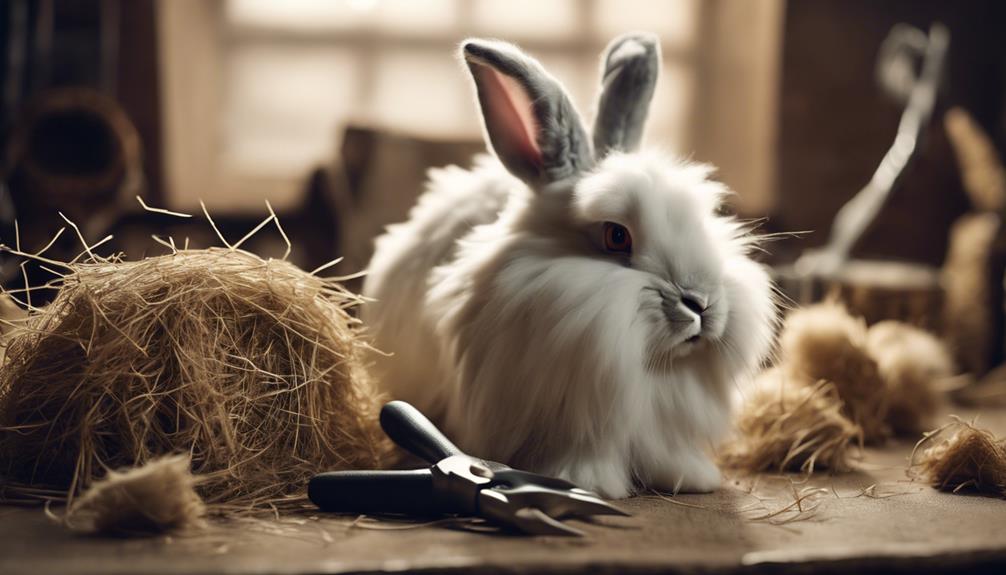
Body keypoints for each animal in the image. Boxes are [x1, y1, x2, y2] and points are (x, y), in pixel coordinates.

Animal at [362, 33, 778, 498]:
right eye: (616, 236)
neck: (652, 371)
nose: (702, 304)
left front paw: (691, 478)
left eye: (706, 220)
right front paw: (588, 484)